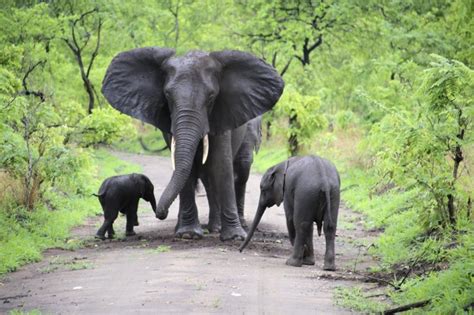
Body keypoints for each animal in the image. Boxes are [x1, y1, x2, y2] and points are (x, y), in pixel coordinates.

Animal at [102, 48, 284, 242]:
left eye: (211, 96)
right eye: (167, 95)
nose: (161, 213)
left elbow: (221, 165)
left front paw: (234, 237)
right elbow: (185, 167)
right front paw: (188, 234)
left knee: (240, 171)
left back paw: (237, 226)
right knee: (208, 178)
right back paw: (211, 227)